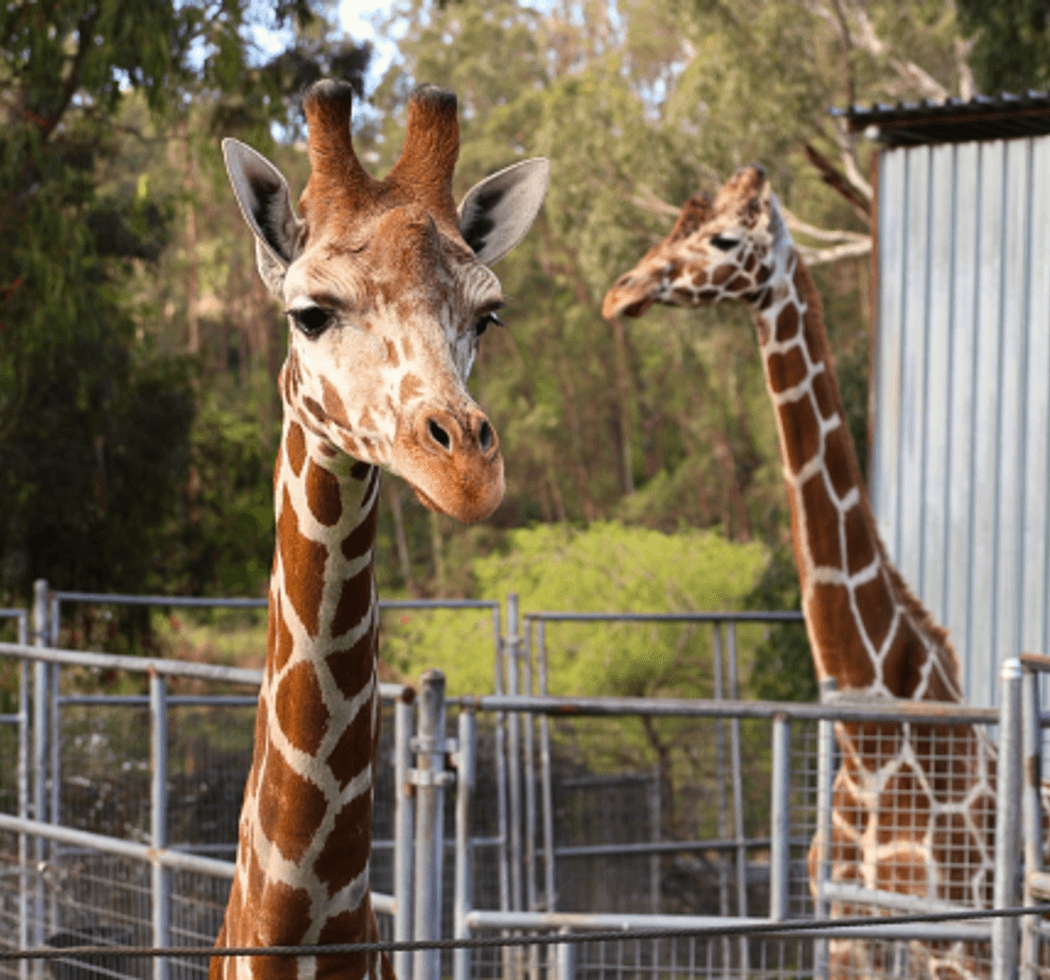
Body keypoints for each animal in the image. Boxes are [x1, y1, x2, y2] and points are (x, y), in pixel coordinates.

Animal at [602, 165, 1002, 979]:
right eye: (678, 222)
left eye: (725, 238)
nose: (620, 292)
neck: (870, 737)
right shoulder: (847, 927)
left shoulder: (959, 937)